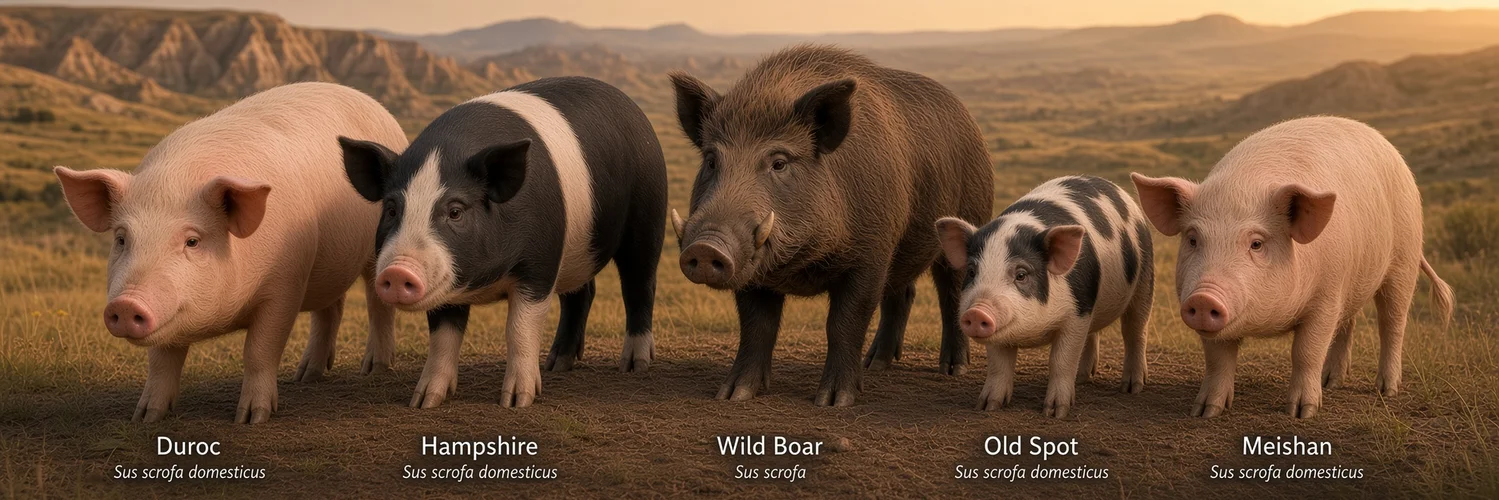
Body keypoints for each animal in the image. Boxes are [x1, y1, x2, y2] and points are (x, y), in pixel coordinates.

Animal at [52, 82, 408, 423]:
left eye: (192, 241)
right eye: (122, 239)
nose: (126, 305)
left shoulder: (286, 283)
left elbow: (260, 350)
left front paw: (251, 418)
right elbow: (162, 361)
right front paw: (145, 417)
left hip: (376, 250)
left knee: (377, 304)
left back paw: (374, 369)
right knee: (330, 308)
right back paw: (305, 376)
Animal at [339, 76, 667, 409]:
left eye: (455, 211)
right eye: (392, 209)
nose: (397, 271)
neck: (485, 280)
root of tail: (630, 105)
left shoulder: (540, 264)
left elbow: (519, 328)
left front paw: (516, 402)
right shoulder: (446, 284)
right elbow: (443, 337)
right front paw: (424, 402)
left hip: (649, 211)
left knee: (640, 284)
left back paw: (634, 365)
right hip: (576, 253)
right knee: (582, 293)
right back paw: (557, 364)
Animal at [668, 45, 993, 406]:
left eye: (779, 162)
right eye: (712, 161)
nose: (705, 246)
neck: (801, 263)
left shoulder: (870, 253)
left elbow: (844, 322)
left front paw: (834, 401)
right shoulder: (754, 269)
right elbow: (756, 325)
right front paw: (733, 395)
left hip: (970, 217)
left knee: (951, 290)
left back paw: (953, 369)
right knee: (902, 292)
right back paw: (876, 364)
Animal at [936, 176, 1154, 418]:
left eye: (1021, 274)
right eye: (972, 272)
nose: (976, 312)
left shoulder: (1078, 313)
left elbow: (1061, 360)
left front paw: (1056, 412)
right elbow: (999, 365)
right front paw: (987, 406)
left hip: (1145, 276)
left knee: (1135, 331)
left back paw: (1132, 387)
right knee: (1093, 334)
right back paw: (1083, 378)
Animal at [1132, 116, 1455, 419]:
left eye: (1257, 244)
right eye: (1193, 239)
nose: (1203, 298)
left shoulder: (1326, 296)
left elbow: (1306, 351)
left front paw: (1301, 413)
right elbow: (1217, 359)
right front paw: (1204, 412)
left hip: (1404, 258)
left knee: (1392, 322)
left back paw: (1386, 390)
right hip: (1352, 280)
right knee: (1348, 323)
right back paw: (1331, 382)